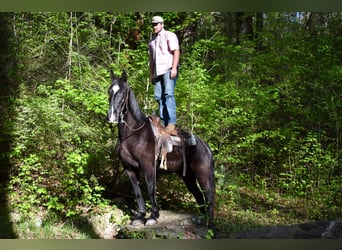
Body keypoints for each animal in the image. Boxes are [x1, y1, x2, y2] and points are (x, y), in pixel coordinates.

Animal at [107, 70, 214, 227]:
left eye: (123, 91)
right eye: (110, 91)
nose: (111, 116)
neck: (134, 133)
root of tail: (205, 146)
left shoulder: (148, 166)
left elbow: (151, 189)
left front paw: (153, 216)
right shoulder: (129, 168)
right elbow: (137, 191)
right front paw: (140, 216)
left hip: (203, 174)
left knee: (209, 195)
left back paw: (210, 223)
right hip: (188, 176)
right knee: (198, 195)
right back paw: (201, 219)